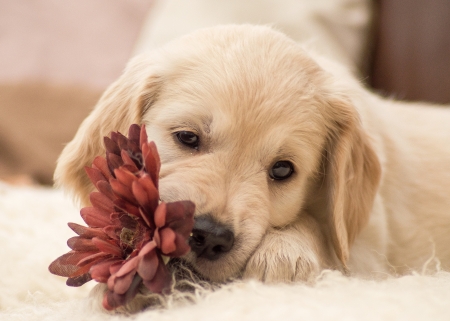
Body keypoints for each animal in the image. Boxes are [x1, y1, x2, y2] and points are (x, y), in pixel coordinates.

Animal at [54, 25, 450, 284]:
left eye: (282, 170)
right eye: (187, 138)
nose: (210, 236)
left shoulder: (368, 252)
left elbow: (325, 231)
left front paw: (285, 252)